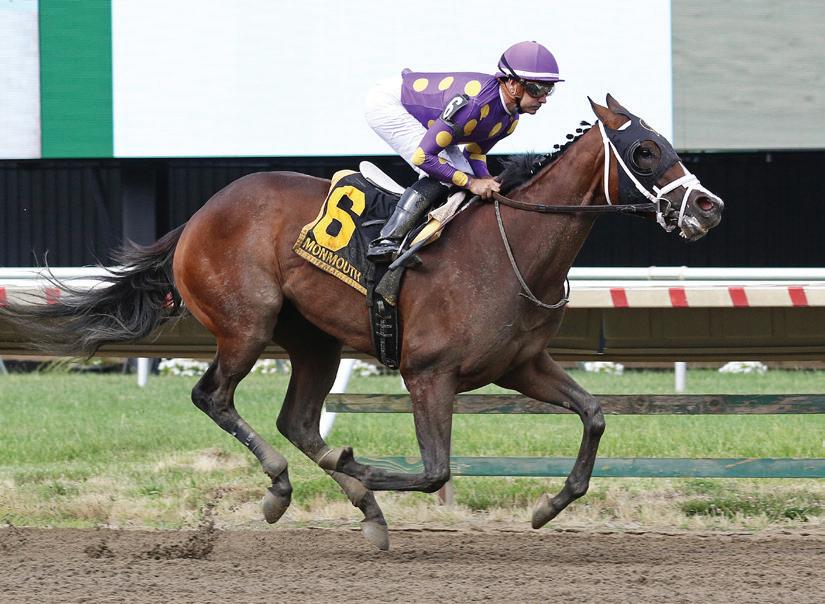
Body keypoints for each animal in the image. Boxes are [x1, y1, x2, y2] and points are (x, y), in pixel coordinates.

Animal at [4, 95, 723, 550]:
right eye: (644, 149)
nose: (708, 207)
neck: (507, 247)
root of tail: (200, 214)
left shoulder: (521, 365)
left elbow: (594, 414)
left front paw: (548, 507)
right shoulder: (427, 375)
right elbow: (435, 471)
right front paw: (364, 470)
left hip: (313, 342)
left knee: (296, 420)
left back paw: (359, 504)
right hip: (247, 324)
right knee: (215, 396)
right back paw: (287, 487)